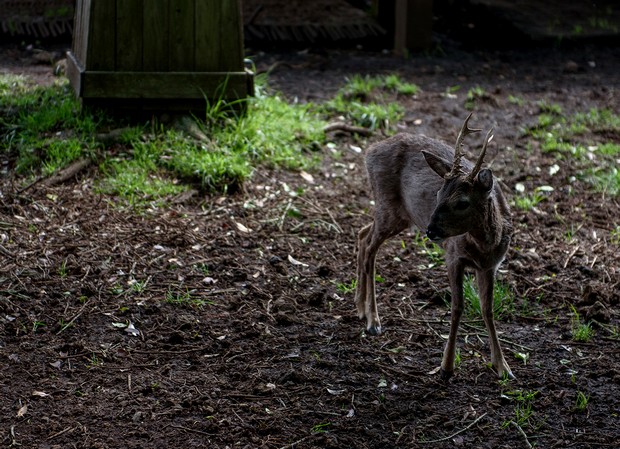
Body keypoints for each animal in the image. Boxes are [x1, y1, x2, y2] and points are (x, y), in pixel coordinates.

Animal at [354, 113, 512, 378]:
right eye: (438, 194)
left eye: (462, 202)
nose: (431, 230)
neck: (484, 246)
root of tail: (369, 151)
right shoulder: (453, 257)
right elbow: (458, 307)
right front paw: (446, 366)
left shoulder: (490, 266)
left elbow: (487, 309)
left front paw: (502, 367)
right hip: (388, 206)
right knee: (368, 246)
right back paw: (373, 321)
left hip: (396, 215)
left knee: (362, 234)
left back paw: (360, 308)